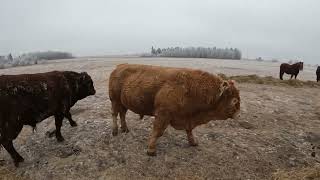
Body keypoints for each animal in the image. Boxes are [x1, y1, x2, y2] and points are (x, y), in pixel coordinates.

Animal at [109, 64, 239, 155]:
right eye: (234, 100)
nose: (237, 113)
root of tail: (118, 67)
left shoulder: (187, 116)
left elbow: (189, 130)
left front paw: (193, 143)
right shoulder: (163, 115)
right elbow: (158, 131)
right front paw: (151, 151)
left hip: (123, 103)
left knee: (122, 114)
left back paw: (125, 129)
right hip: (114, 100)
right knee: (115, 114)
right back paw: (115, 132)